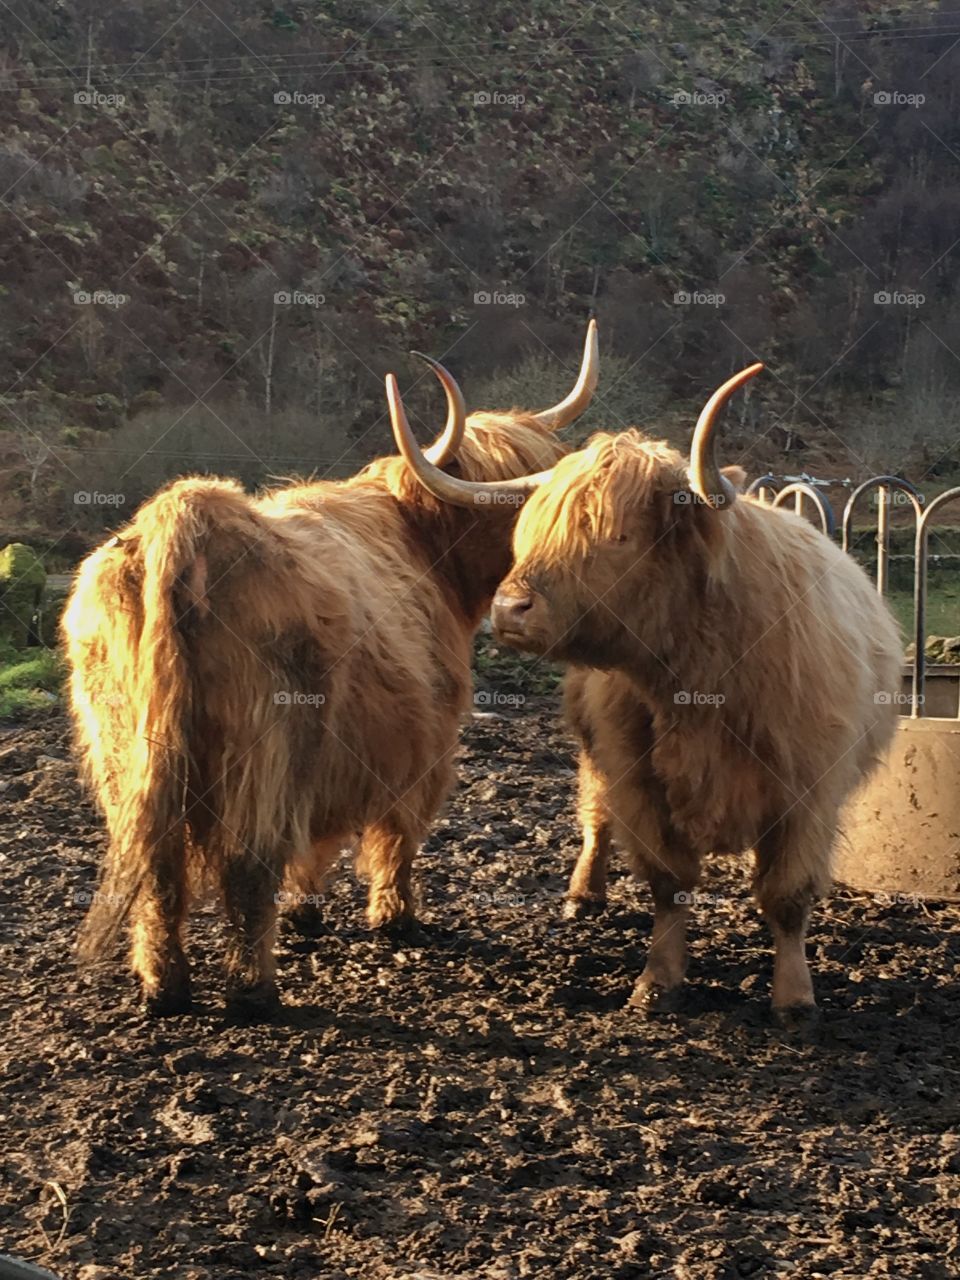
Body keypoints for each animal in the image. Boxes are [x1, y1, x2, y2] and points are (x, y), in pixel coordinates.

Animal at [63, 323, 597, 1017]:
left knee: (159, 865)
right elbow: (393, 835)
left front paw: (307, 912)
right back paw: (252, 993)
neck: (423, 542)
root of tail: (188, 515)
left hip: (127, 750)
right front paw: (393, 919)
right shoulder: (420, 744)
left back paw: (166, 988)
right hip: (262, 746)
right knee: (246, 863)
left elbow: (314, 842)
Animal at [387, 364, 903, 1023]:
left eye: (618, 536)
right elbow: (668, 883)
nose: (508, 608)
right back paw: (584, 894)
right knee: (594, 815)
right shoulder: (638, 778)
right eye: (531, 531)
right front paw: (657, 982)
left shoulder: (807, 791)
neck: (697, 681)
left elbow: (787, 896)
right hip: (596, 753)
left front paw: (794, 998)